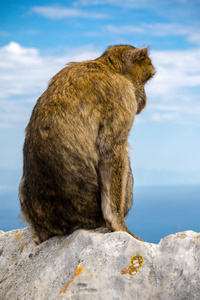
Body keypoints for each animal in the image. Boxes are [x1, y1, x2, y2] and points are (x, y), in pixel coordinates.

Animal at [18, 44, 155, 243]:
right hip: (92, 215)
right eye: (145, 81)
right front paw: (119, 226)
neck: (108, 66)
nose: (144, 100)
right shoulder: (123, 95)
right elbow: (110, 151)